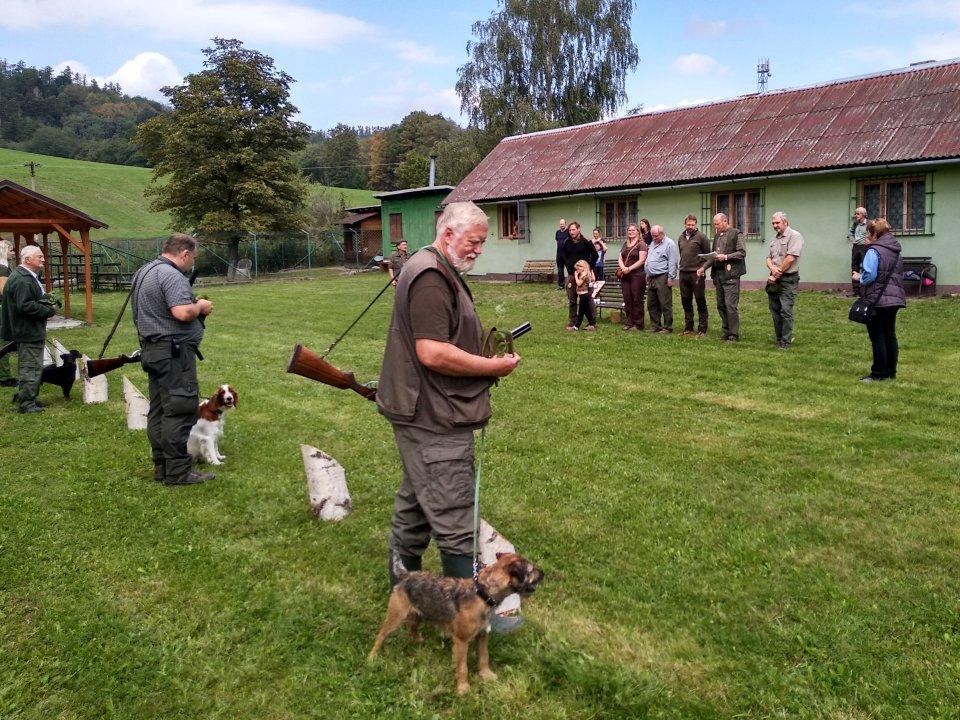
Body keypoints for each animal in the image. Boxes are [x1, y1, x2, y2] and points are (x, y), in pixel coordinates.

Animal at [370, 552, 548, 696]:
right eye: (531, 570)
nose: (543, 573)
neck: (482, 594)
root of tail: (406, 574)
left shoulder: (483, 635)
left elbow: (484, 657)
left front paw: (486, 675)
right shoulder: (461, 641)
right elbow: (462, 667)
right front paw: (463, 688)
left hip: (419, 614)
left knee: (412, 628)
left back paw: (419, 641)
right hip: (395, 616)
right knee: (381, 635)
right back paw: (372, 657)